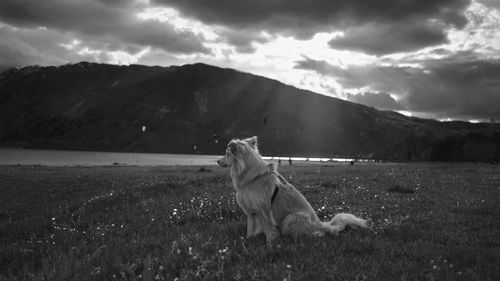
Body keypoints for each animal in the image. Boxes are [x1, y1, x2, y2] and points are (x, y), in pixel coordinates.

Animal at [216, 136, 368, 245]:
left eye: (227, 154)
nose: (217, 161)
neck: (253, 177)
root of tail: (320, 225)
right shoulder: (251, 211)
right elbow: (250, 229)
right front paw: (249, 240)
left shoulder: (264, 210)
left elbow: (269, 228)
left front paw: (269, 243)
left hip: (291, 217)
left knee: (313, 234)